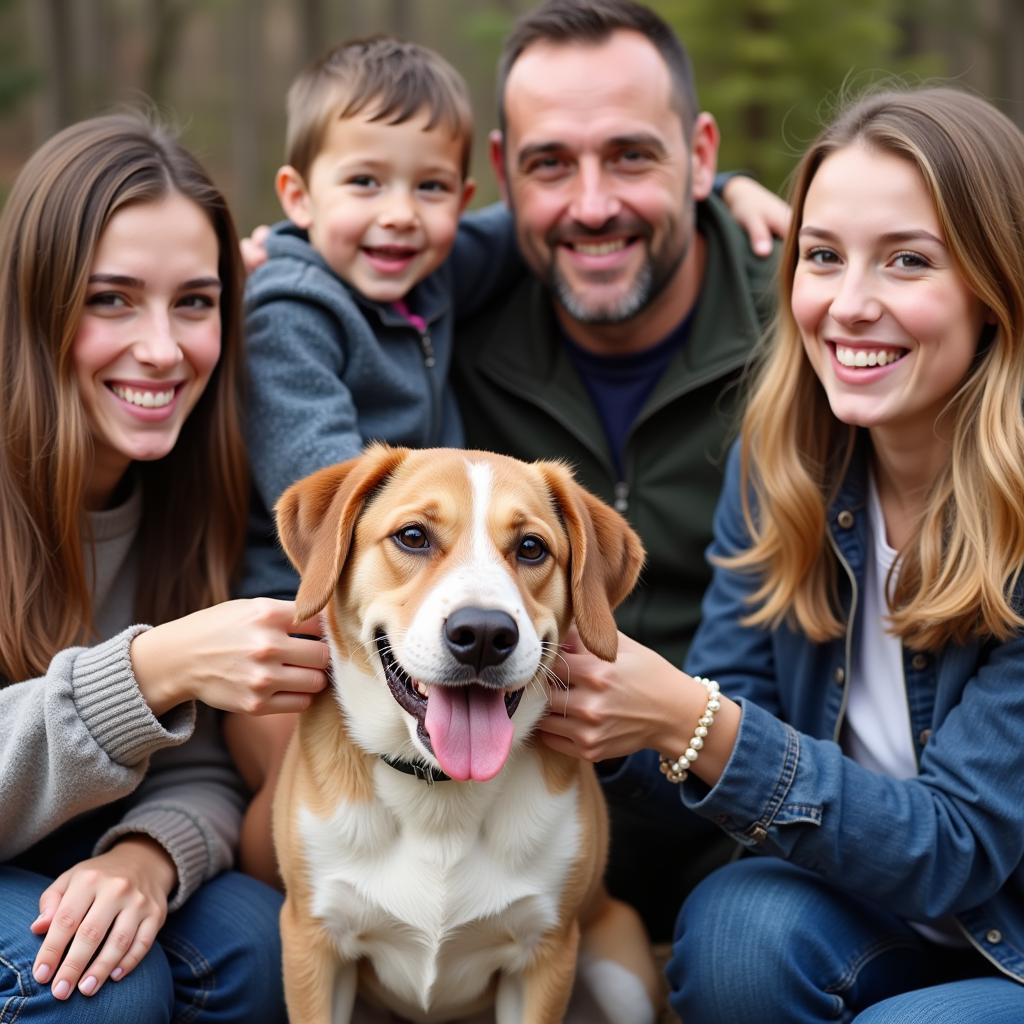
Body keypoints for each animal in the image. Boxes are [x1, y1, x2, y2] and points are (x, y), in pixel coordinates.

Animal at [272, 448, 655, 1024]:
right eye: (413, 536)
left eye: (531, 547)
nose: (483, 635)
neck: (440, 795)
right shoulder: (314, 942)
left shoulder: (544, 955)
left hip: (624, 976)